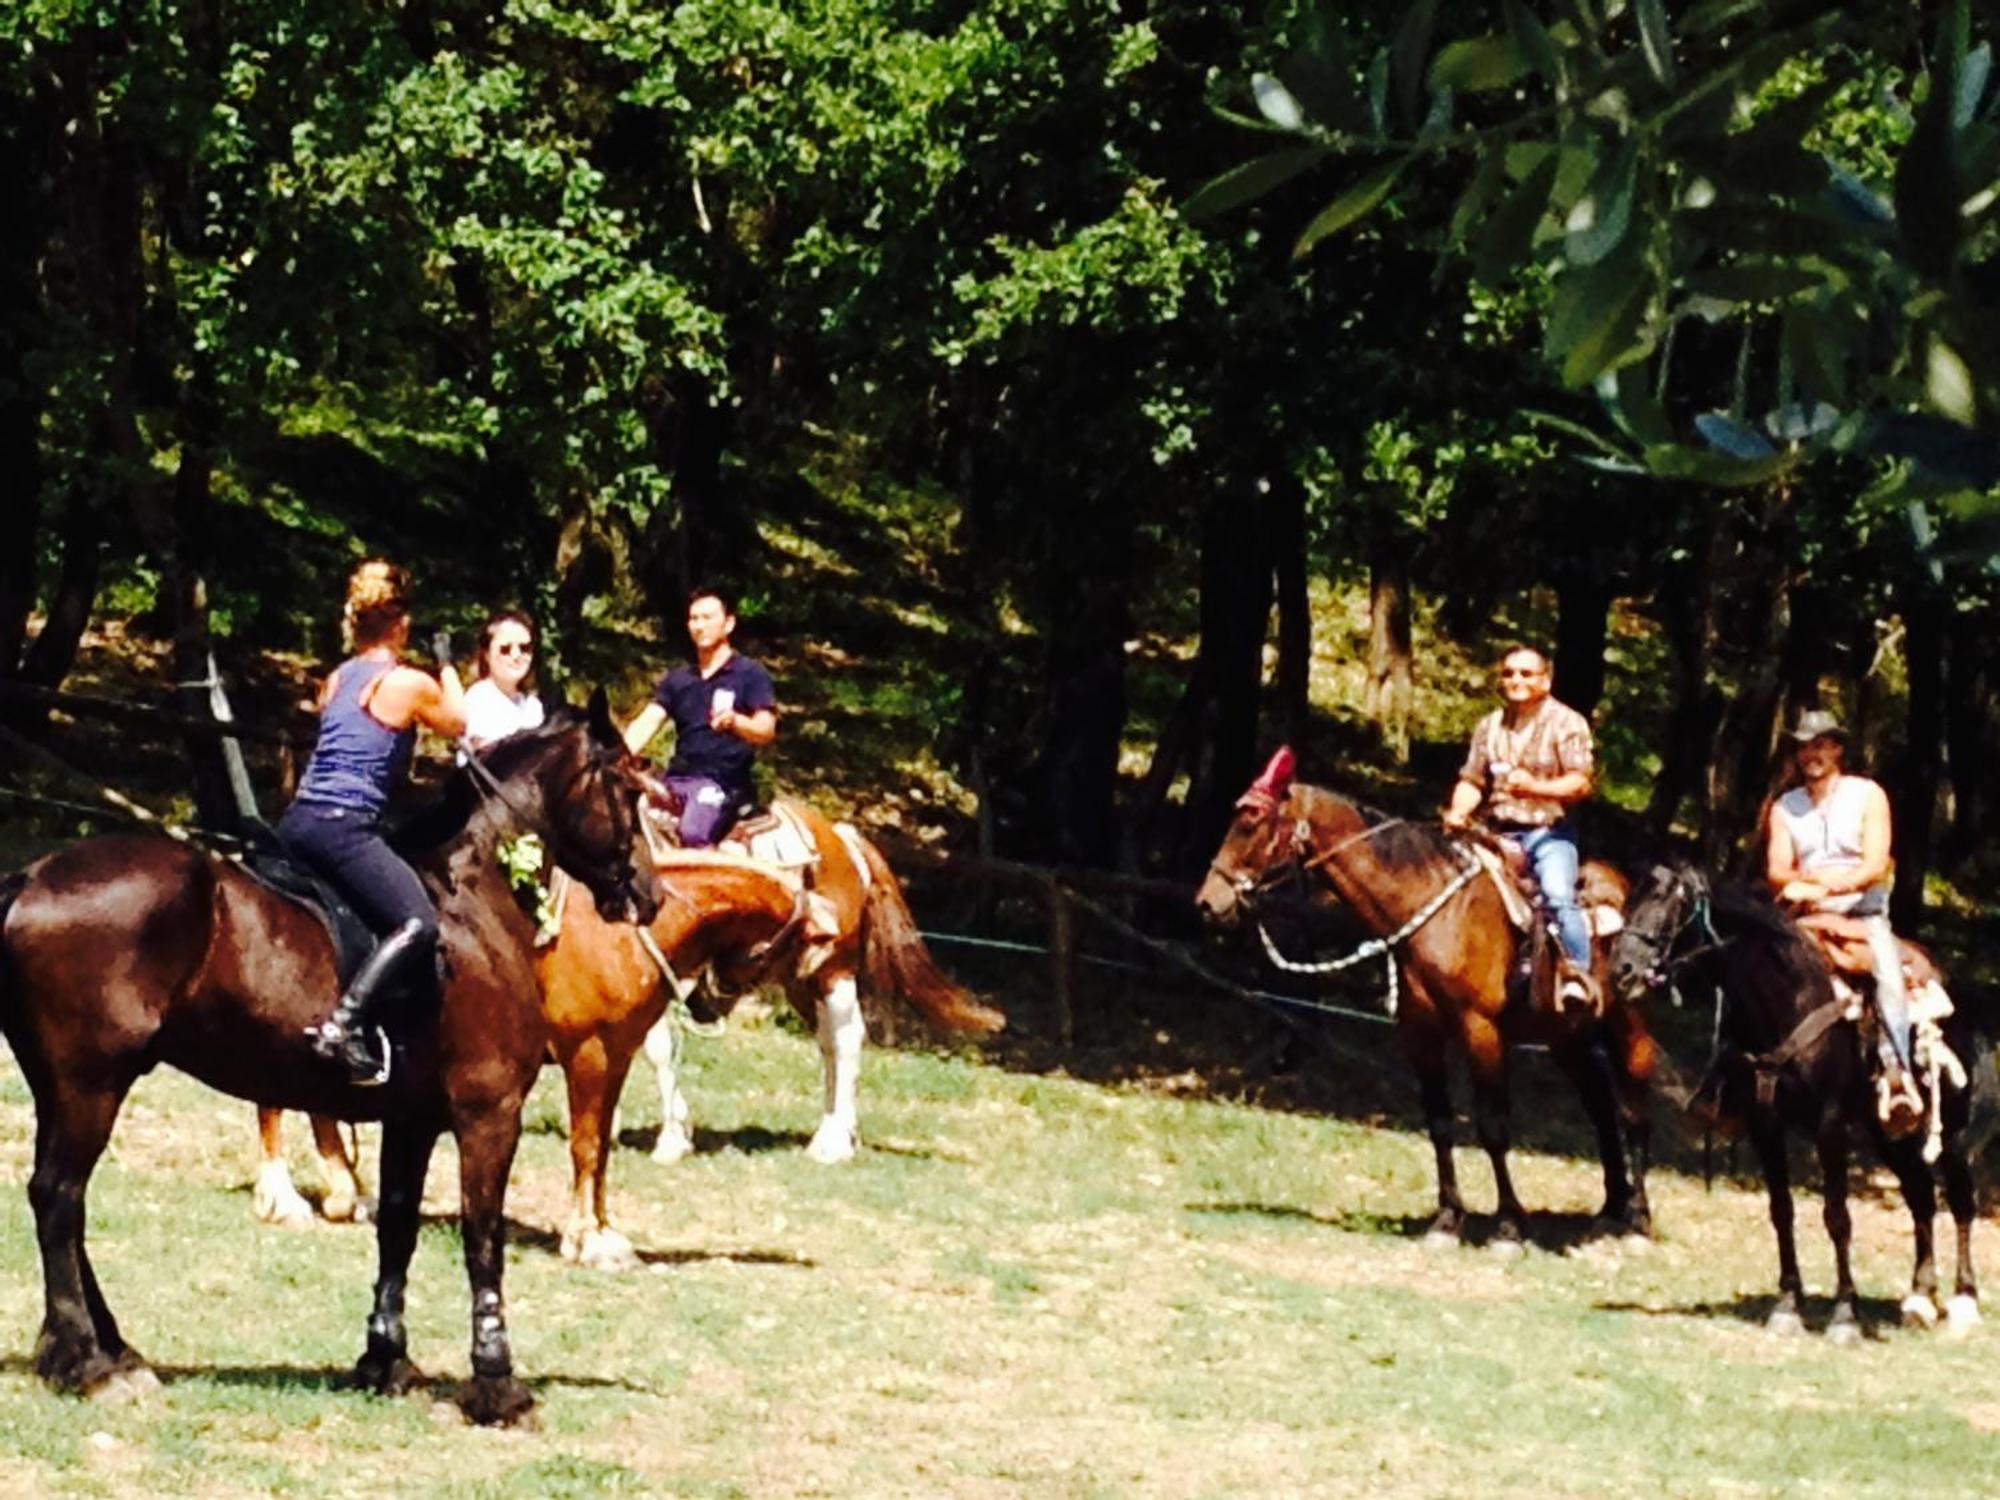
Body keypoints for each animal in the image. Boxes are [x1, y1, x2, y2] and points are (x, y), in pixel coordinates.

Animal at [0, 700, 664, 1424]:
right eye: (627, 790)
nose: (650, 895)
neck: (471, 900)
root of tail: (31, 876)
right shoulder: (489, 1115)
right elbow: (483, 1243)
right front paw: (497, 1385)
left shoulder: (411, 1121)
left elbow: (398, 1231)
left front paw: (386, 1360)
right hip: (91, 1083)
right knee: (59, 1197)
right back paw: (91, 1364)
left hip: (60, 1085)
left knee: (59, 1199)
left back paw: (112, 1351)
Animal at [1192, 752, 1648, 1256]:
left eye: (1250, 823)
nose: (1208, 903)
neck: (1437, 910)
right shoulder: (1420, 1033)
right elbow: (1440, 1123)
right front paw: (1447, 1220)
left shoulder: (1481, 1030)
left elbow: (1493, 1126)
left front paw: (1509, 1227)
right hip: (1567, 1037)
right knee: (1601, 1106)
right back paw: (1610, 1210)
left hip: (1624, 1025)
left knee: (1633, 1108)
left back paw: (1637, 1220)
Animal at [1608, 864, 1984, 1344]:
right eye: (1632, 902)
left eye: (1672, 908)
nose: (1622, 969)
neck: (1788, 999)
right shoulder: (1765, 1124)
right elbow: (1781, 1211)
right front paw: (1787, 1304)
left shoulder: (1830, 1125)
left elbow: (1837, 1216)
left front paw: (1844, 1314)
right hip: (1888, 1133)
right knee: (1920, 1196)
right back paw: (1919, 1298)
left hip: (1950, 1127)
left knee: (1960, 1199)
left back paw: (1964, 1300)